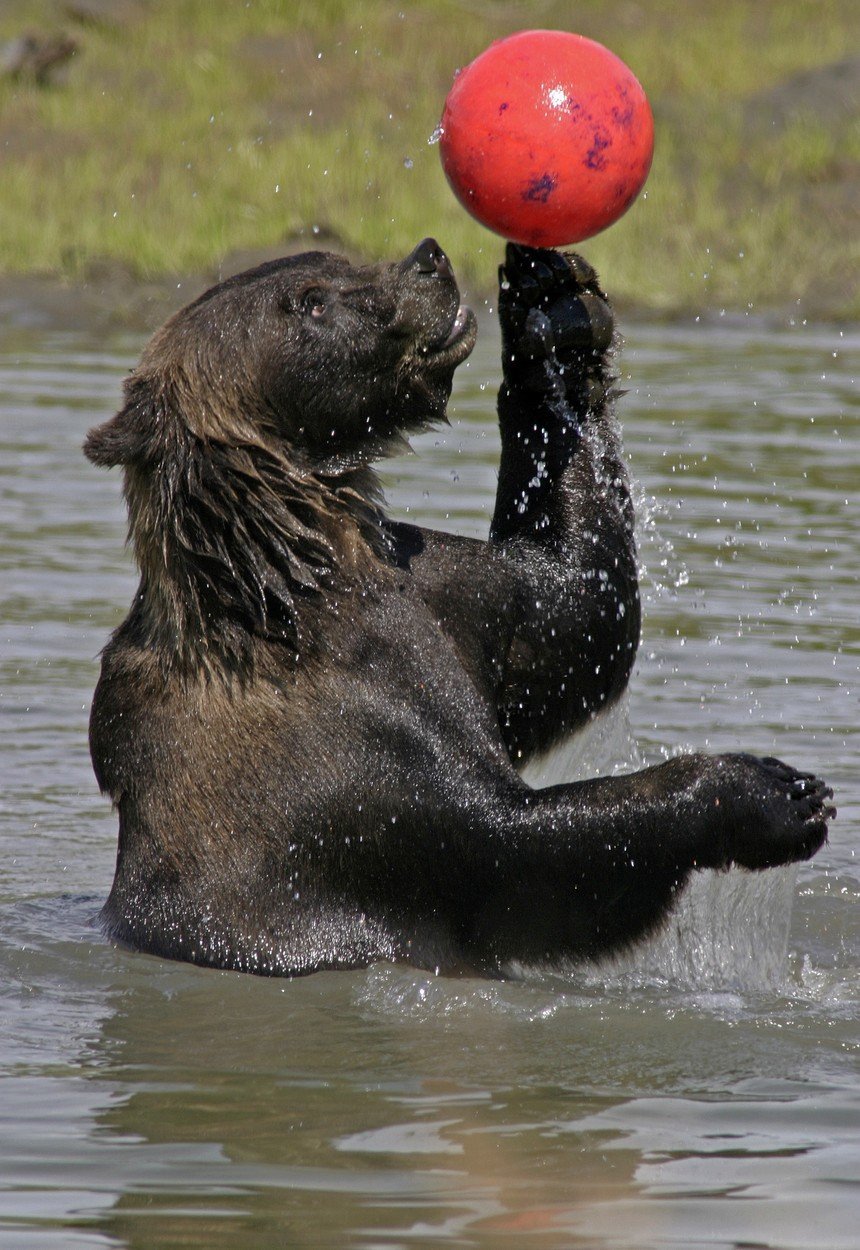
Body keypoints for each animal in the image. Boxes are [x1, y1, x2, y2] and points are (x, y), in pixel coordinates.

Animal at [82, 235, 835, 975]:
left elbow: (568, 617)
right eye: (310, 301)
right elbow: (506, 843)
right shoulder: (344, 739)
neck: (304, 569)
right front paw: (773, 791)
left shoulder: (437, 587)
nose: (429, 259)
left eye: (328, 259)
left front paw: (552, 312)